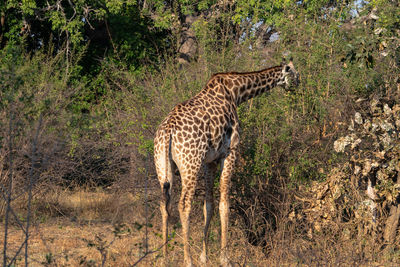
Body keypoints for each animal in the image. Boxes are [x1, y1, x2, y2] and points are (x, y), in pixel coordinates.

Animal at [155, 60, 298, 267]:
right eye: (294, 73)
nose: (297, 84)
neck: (236, 93)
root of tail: (168, 131)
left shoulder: (209, 161)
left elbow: (208, 205)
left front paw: (205, 257)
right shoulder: (230, 152)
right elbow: (224, 204)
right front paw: (225, 258)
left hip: (163, 166)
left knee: (164, 204)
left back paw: (164, 257)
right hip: (190, 164)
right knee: (184, 204)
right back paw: (187, 260)